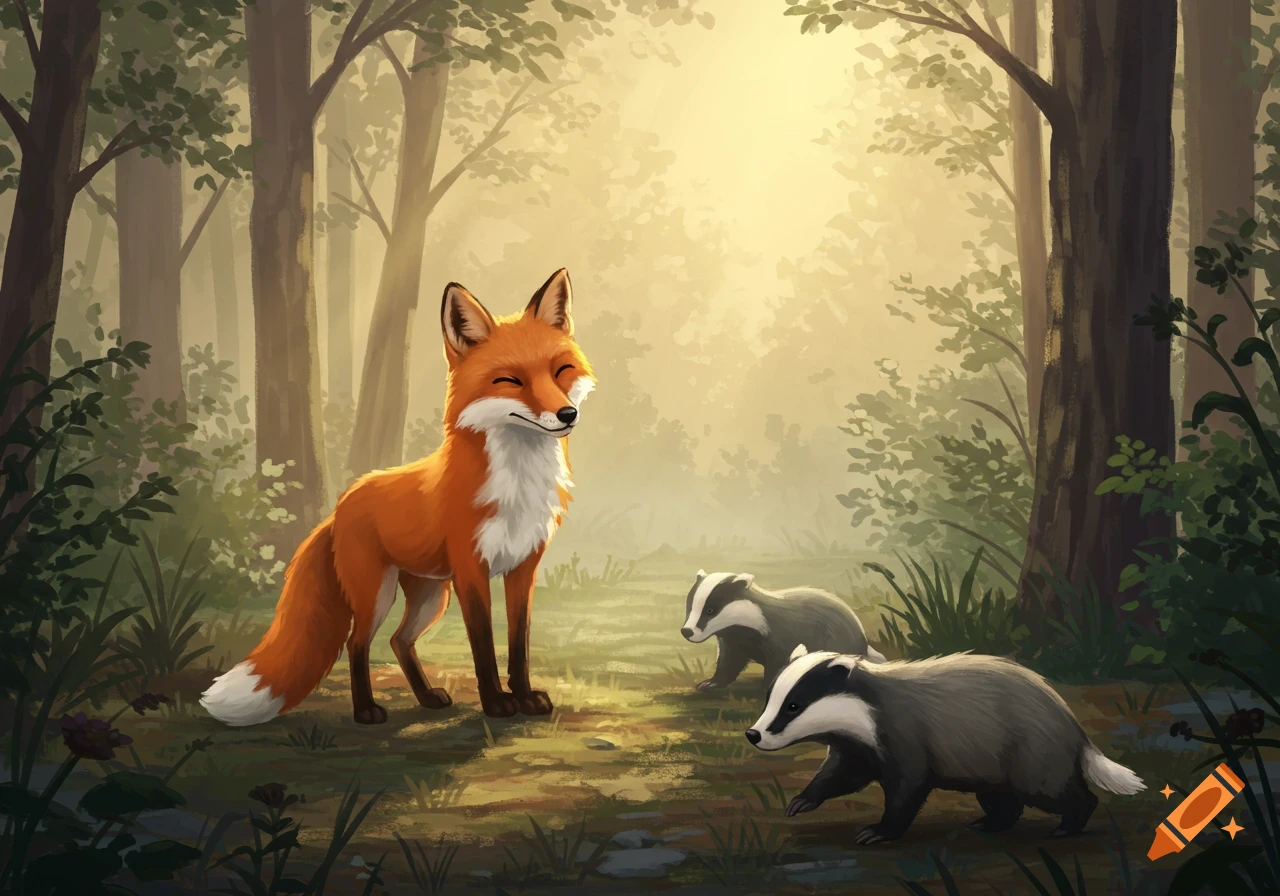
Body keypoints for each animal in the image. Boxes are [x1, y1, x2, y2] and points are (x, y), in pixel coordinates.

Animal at [200, 268, 595, 725]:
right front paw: (497, 703)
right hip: (378, 594)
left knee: (399, 641)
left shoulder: (522, 568)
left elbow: (519, 644)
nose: (568, 414)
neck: (518, 482)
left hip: (431, 596)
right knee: (356, 645)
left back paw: (426, 697)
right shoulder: (471, 571)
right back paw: (366, 710)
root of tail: (340, 505)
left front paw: (526, 697)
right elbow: (482, 645)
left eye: (560, 370)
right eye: (511, 381)